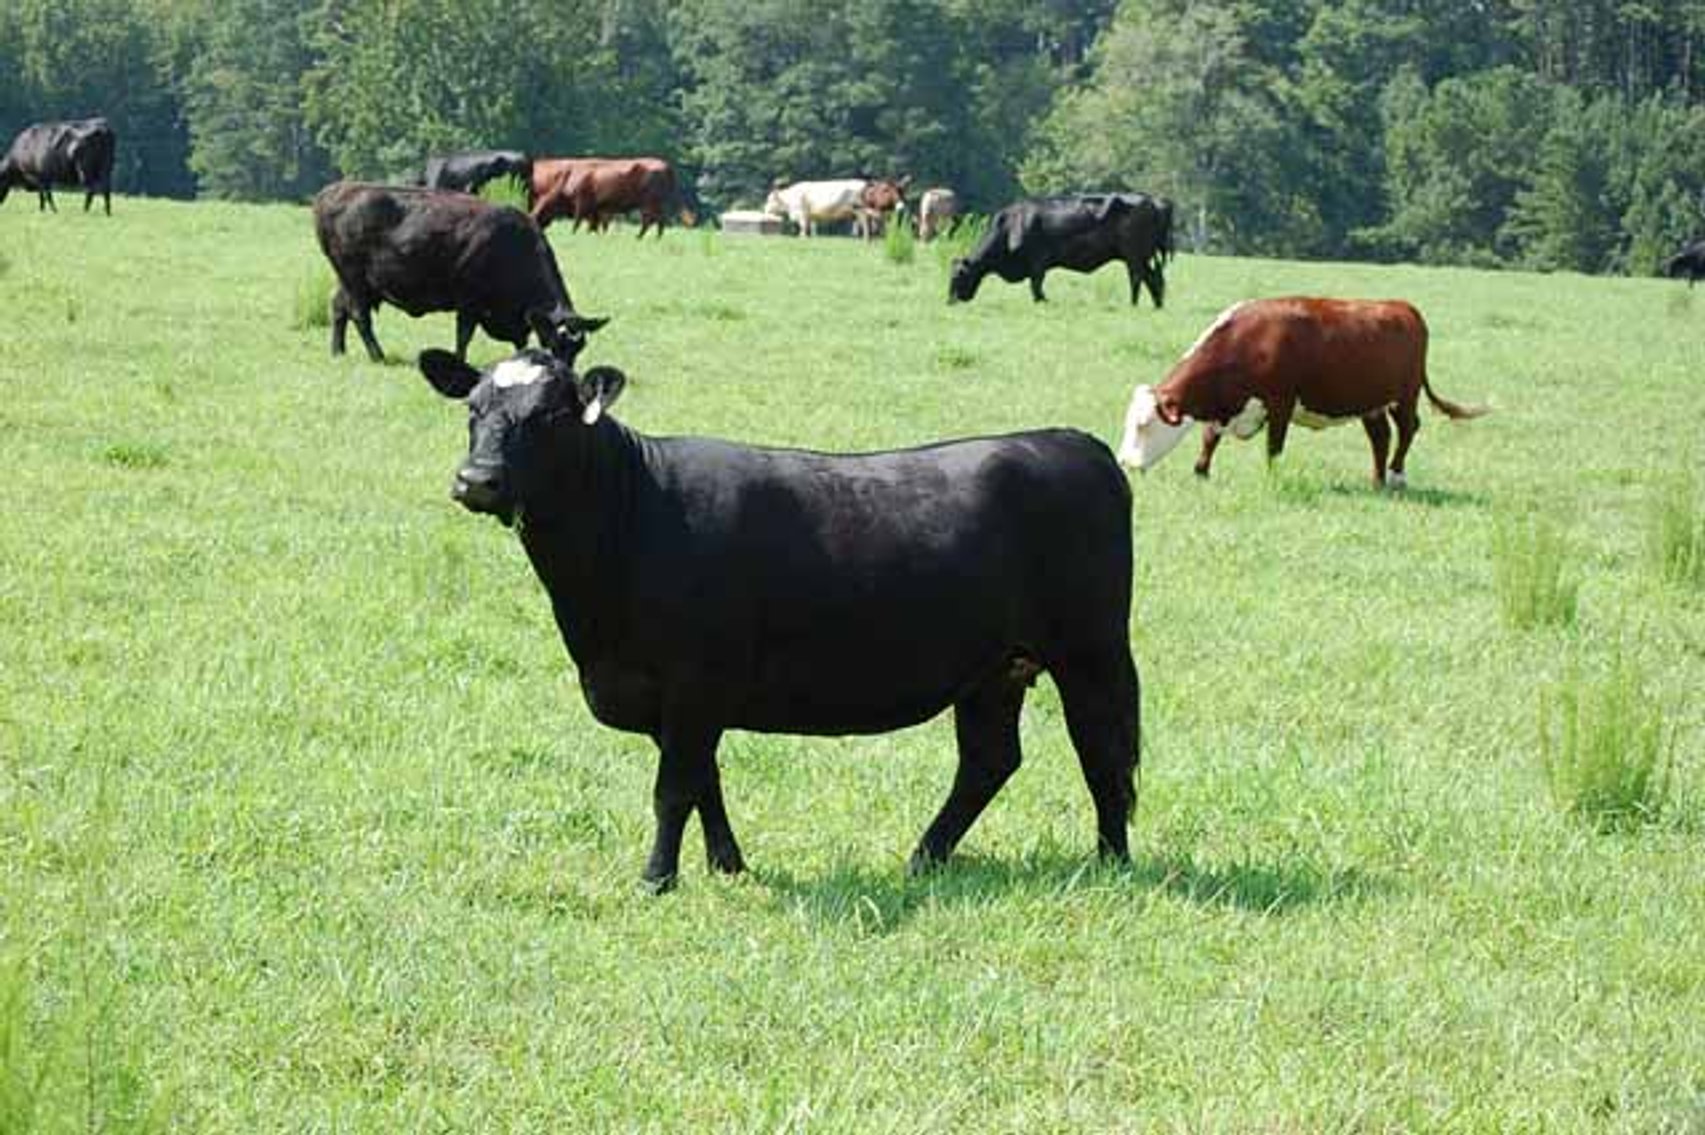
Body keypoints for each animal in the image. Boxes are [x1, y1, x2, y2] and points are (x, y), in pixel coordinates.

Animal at [312, 182, 606, 364]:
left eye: (578, 349)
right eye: (556, 344)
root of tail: (334, 191)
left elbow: (519, 340)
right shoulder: (469, 302)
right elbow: (464, 335)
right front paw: (459, 360)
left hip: (348, 282)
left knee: (338, 308)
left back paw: (338, 351)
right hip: (355, 281)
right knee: (360, 317)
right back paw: (378, 356)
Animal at [414, 347, 1143, 892]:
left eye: (548, 416)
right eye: (473, 409)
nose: (476, 479)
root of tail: (1072, 442)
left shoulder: (695, 680)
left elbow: (673, 787)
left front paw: (656, 879)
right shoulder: (673, 698)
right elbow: (703, 779)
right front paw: (727, 865)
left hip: (1091, 650)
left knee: (1101, 751)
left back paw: (1110, 862)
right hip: (993, 669)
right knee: (990, 761)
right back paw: (923, 858)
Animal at [529, 157, 678, 237]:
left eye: (542, 208)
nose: (534, 222)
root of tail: (666, 166)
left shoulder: (582, 204)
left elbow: (578, 222)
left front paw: (574, 233)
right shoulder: (596, 209)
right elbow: (594, 225)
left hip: (648, 203)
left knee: (649, 220)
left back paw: (638, 237)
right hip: (658, 204)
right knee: (660, 220)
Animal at [949, 193, 1173, 306]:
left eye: (958, 276)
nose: (950, 301)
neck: (1011, 225)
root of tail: (1155, 201)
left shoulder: (1038, 262)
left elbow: (1036, 286)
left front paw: (1043, 302)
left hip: (1133, 254)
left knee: (1139, 278)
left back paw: (1133, 304)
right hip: (1140, 256)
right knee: (1153, 278)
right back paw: (1155, 304)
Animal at [1117, 298, 1487, 488]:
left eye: (1143, 425)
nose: (1124, 463)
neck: (1246, 343)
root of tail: (1404, 307)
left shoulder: (1280, 403)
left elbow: (1274, 446)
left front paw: (1271, 478)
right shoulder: (1228, 404)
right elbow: (1210, 437)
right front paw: (1201, 471)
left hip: (1404, 395)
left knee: (1408, 429)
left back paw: (1396, 476)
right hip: (1370, 404)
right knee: (1380, 437)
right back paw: (1377, 480)